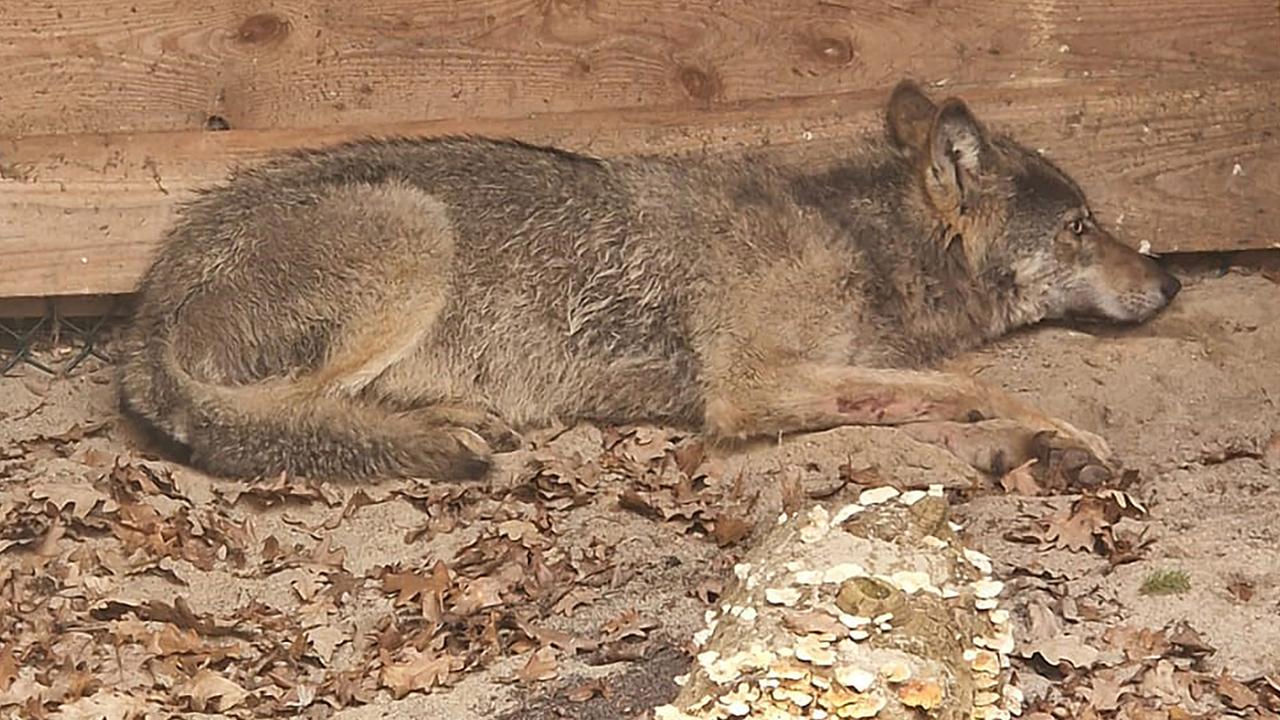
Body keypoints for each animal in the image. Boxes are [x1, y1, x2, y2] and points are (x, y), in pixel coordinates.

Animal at [115, 80, 1181, 484]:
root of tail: (146, 311)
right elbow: (973, 384)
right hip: (415, 231)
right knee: (282, 418)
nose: (1171, 281)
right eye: (1083, 227)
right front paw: (1063, 435)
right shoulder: (749, 389)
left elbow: (929, 400)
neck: (858, 241)